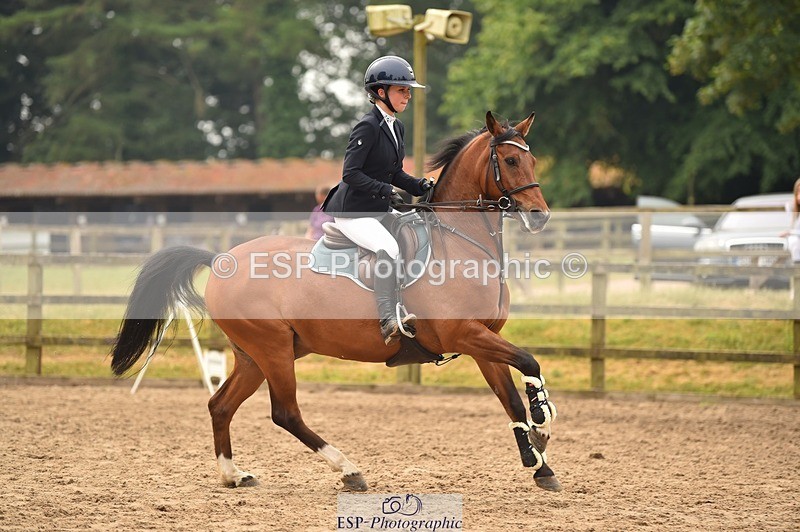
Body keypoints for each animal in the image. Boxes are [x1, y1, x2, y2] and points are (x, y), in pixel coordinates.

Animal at [110, 110, 562, 492]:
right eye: (509, 160)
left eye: (533, 159)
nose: (539, 216)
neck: (459, 243)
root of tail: (221, 259)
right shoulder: (464, 334)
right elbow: (529, 363)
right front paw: (543, 419)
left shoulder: (483, 339)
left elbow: (510, 398)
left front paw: (540, 464)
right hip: (273, 349)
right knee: (285, 413)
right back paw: (349, 470)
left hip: (256, 355)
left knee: (220, 405)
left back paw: (234, 475)